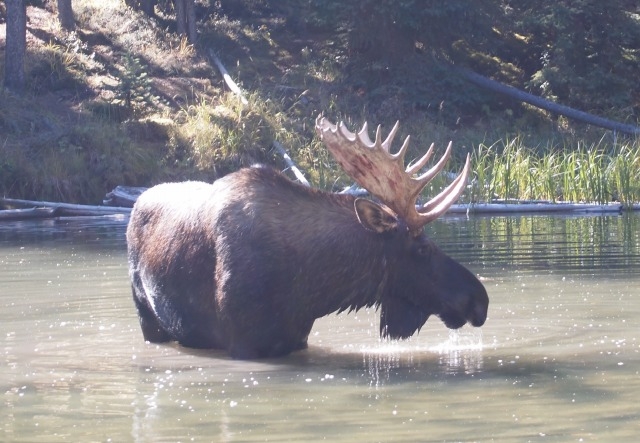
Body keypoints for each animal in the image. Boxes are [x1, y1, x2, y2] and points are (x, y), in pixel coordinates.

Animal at [126, 115, 490, 360]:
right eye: (423, 248)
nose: (480, 299)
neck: (313, 290)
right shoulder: (242, 343)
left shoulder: (297, 339)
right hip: (147, 317)